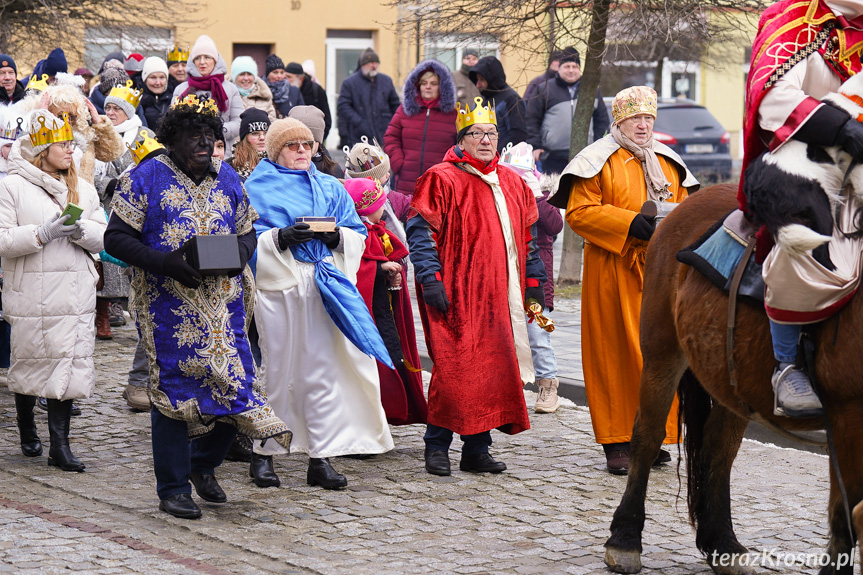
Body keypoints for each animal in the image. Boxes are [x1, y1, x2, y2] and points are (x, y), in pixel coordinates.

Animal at [604, 183, 863, 575]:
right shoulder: (847, 418)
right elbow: (844, 517)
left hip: (731, 379)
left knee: (718, 449)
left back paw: (721, 543)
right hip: (662, 355)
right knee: (647, 437)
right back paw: (625, 538)